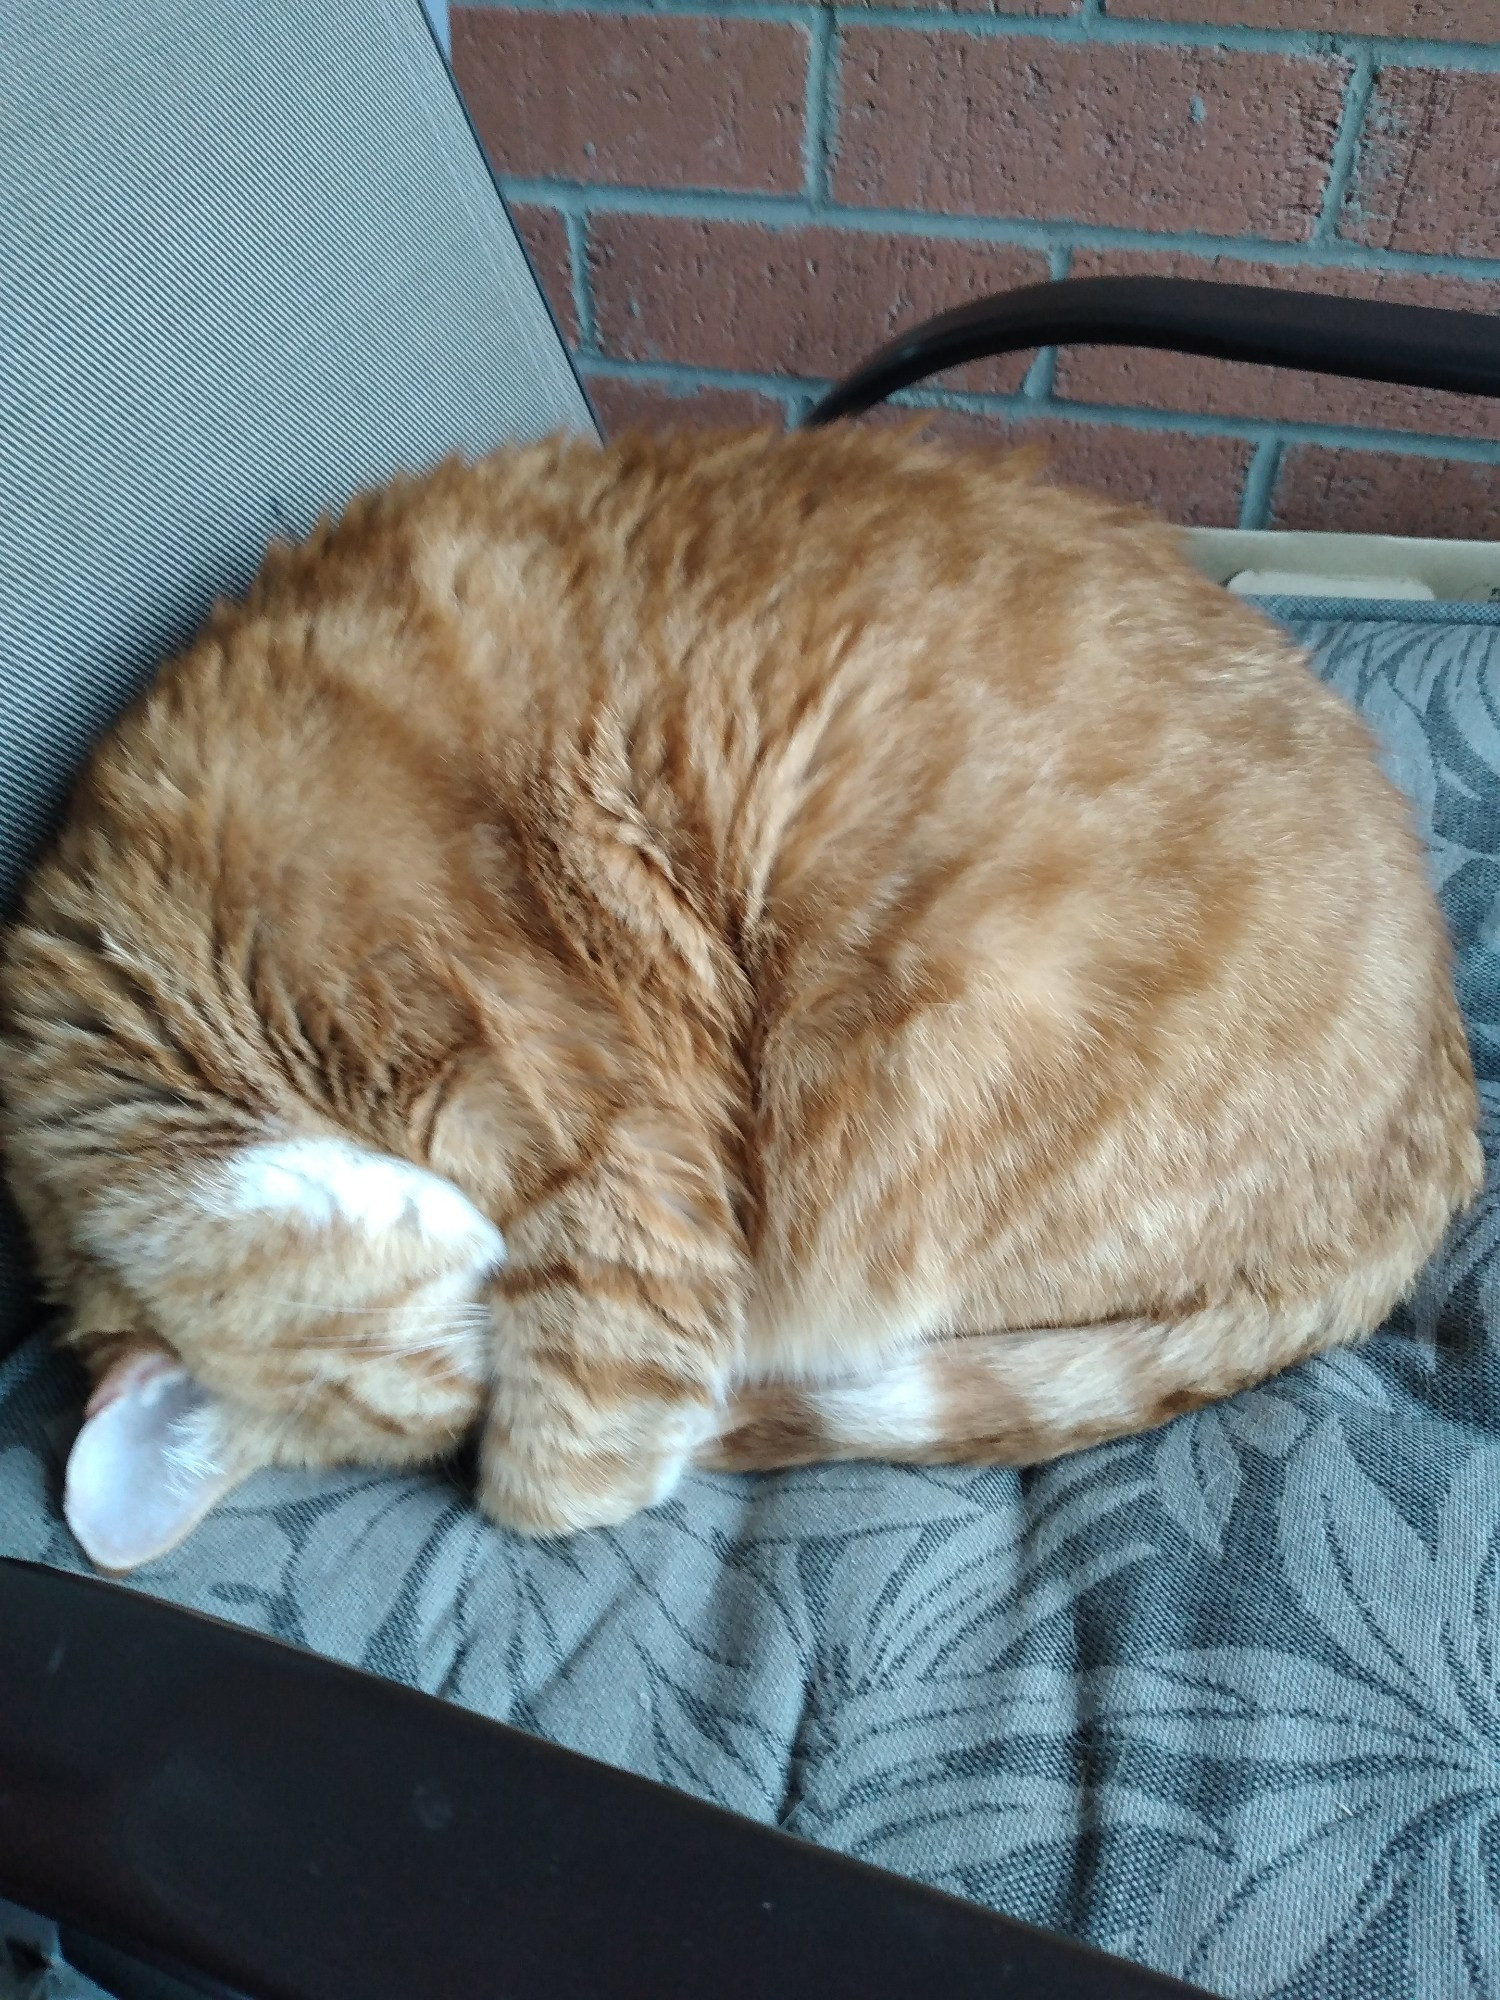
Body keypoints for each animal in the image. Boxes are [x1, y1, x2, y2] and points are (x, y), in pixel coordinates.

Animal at [0, 430, 1480, 1568]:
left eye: (462, 1359)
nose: (495, 1283)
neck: (169, 961)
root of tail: (1448, 1103)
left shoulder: (598, 1148)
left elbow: (545, 1488)